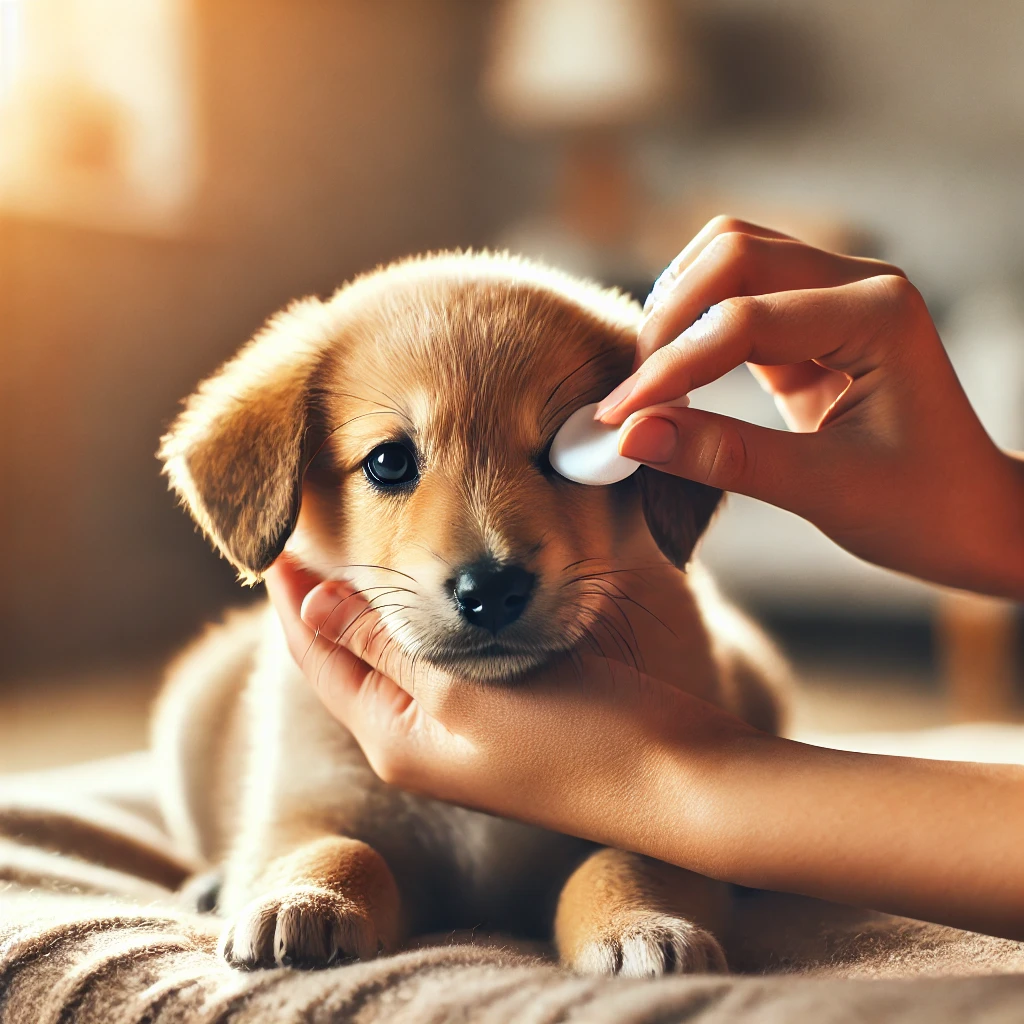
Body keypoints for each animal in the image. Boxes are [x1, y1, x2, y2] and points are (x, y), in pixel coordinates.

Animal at [153, 247, 790, 974]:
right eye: (389, 461)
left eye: (567, 459)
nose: (492, 589)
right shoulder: (308, 803)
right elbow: (340, 848)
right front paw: (306, 899)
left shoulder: (670, 835)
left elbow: (621, 863)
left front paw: (641, 926)